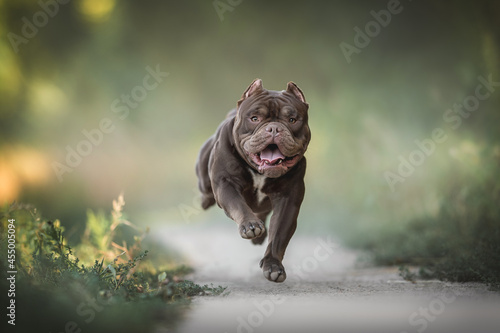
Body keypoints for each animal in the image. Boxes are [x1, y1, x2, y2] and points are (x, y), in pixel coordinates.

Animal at [194, 79, 308, 282]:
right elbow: (238, 205)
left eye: (292, 120)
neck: (259, 172)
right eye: (254, 118)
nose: (274, 128)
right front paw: (250, 226)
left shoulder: (288, 200)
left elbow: (279, 235)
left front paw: (273, 266)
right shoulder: (226, 184)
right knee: (206, 193)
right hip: (205, 180)